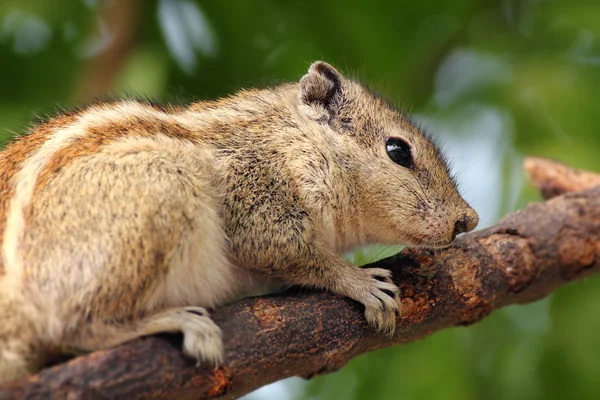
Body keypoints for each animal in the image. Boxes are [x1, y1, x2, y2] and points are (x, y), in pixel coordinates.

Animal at [0, 61, 478, 382]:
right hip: (162, 192)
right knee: (77, 327)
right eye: (398, 151)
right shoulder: (256, 191)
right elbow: (291, 252)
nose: (467, 219)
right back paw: (180, 321)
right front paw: (359, 281)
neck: (291, 136)